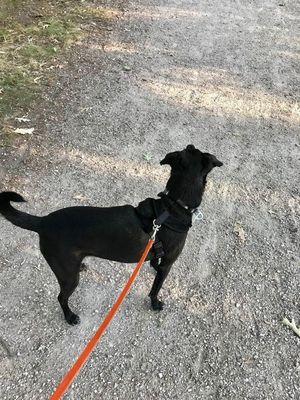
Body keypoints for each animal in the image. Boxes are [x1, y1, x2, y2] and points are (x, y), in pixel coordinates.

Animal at [0, 145, 223, 324]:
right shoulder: (168, 263)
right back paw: (70, 317)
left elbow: (154, 263)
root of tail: (43, 222)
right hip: (69, 278)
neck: (173, 205)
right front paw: (155, 303)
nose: (190, 144)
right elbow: (156, 288)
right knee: (61, 298)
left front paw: (152, 266)